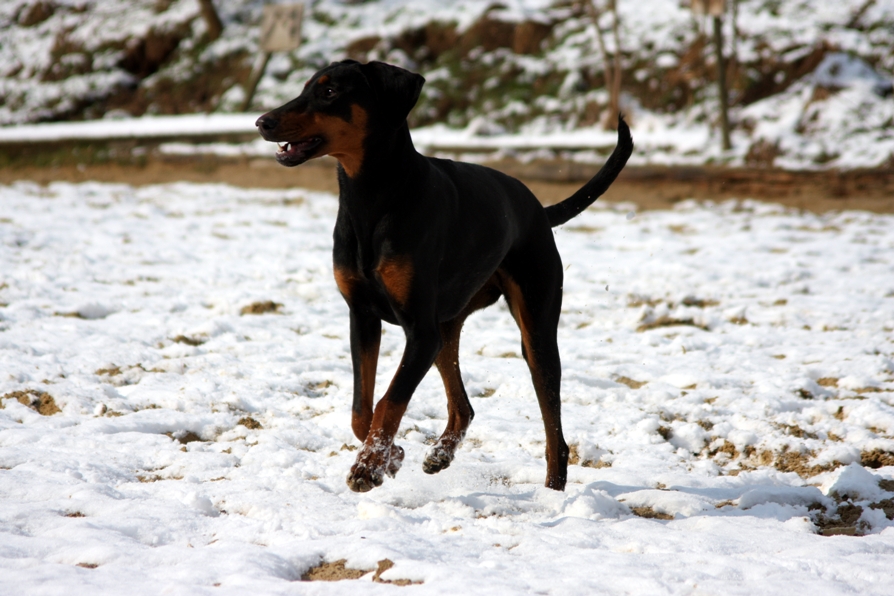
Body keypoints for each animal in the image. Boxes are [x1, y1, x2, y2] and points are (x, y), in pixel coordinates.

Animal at [258, 59, 636, 494]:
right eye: (304, 88)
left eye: (330, 91)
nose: (262, 122)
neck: (373, 198)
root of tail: (538, 209)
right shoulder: (363, 318)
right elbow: (360, 409)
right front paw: (390, 455)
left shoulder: (419, 332)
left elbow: (389, 400)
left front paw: (369, 465)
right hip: (445, 329)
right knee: (464, 406)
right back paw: (440, 453)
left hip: (534, 332)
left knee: (553, 430)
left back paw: (552, 494)